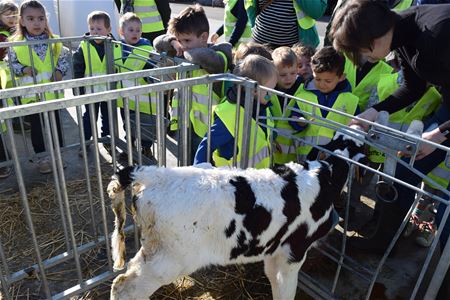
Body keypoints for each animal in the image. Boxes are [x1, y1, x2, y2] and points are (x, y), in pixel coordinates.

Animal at [108, 128, 366, 298]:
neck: (326, 176)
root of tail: (155, 174)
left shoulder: (275, 249)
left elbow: (273, 279)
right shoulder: (294, 250)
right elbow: (286, 288)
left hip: (154, 250)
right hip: (171, 258)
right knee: (126, 288)